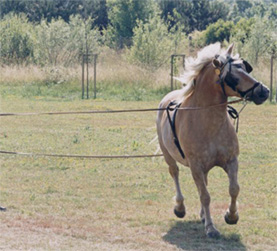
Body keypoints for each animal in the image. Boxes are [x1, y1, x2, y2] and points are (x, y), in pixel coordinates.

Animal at [156, 42, 268, 237]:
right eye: (233, 75)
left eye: (245, 67)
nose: (264, 91)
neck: (209, 121)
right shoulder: (195, 166)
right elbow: (205, 195)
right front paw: (211, 227)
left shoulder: (231, 161)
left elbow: (233, 189)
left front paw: (231, 216)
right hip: (169, 156)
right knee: (175, 173)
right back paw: (180, 207)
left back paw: (202, 215)